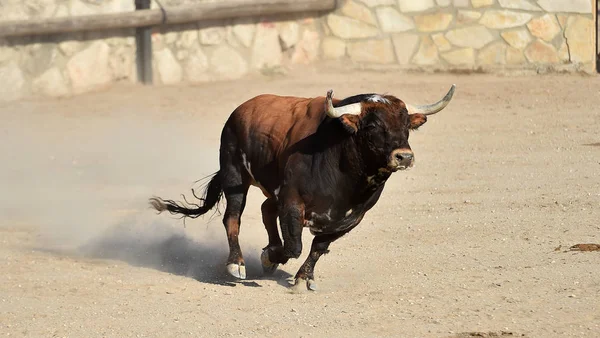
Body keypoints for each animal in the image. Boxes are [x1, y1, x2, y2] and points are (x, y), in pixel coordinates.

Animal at [150, 83, 454, 290]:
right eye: (372, 126)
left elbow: (319, 246)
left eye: (406, 125)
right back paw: (237, 264)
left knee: (265, 209)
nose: (404, 156)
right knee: (233, 218)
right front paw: (269, 257)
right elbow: (294, 245)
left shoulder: (351, 217)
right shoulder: (292, 202)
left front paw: (303, 277)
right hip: (235, 176)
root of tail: (241, 110)